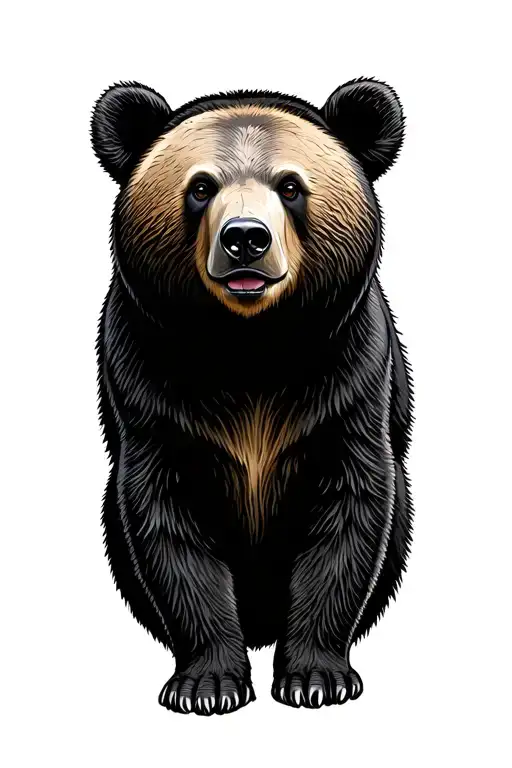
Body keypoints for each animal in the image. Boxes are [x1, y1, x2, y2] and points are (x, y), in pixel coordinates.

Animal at [91, 77, 413, 716]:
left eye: (290, 186)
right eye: (200, 187)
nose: (245, 238)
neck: (249, 348)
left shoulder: (347, 382)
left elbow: (350, 510)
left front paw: (316, 678)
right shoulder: (149, 388)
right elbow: (168, 523)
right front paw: (206, 684)